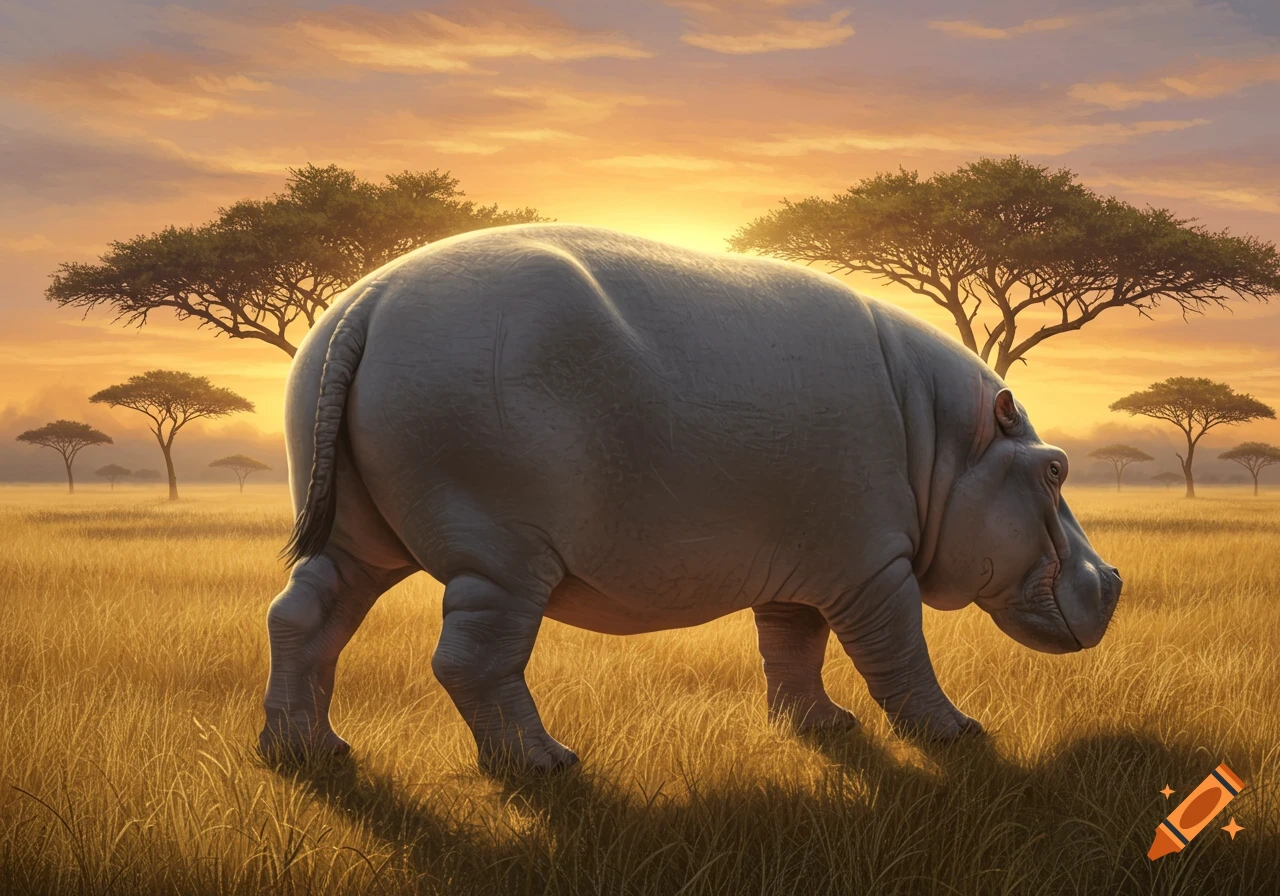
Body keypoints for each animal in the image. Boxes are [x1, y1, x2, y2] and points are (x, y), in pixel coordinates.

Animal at [259, 224, 1121, 772]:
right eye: (1055, 469)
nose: (1114, 580)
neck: (946, 443)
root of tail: (367, 302)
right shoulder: (874, 567)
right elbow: (898, 654)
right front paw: (960, 736)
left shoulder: (807, 564)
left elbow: (793, 649)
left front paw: (823, 729)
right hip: (502, 556)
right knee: (470, 660)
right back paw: (546, 764)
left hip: (359, 537)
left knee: (303, 616)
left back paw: (308, 753)